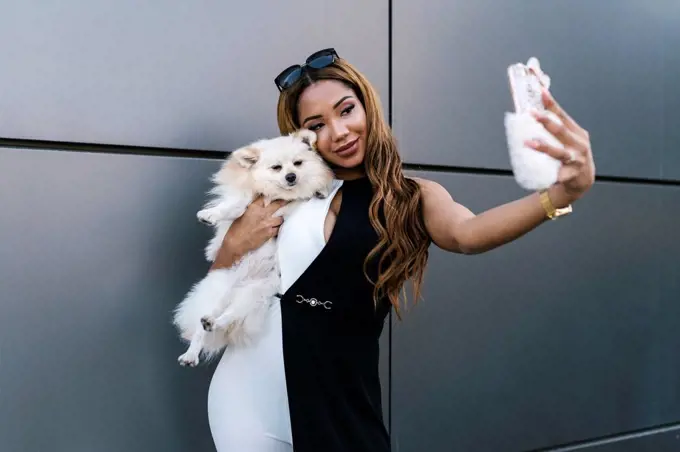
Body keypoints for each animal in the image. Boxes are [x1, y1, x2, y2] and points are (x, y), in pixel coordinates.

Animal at [174, 128, 334, 368]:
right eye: (276, 168)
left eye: (297, 164)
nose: (291, 176)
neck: (278, 195)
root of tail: (243, 282)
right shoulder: (247, 204)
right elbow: (232, 208)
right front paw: (210, 215)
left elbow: (309, 190)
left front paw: (321, 189)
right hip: (222, 290)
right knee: (202, 329)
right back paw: (191, 353)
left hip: (255, 293)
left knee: (230, 315)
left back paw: (214, 323)